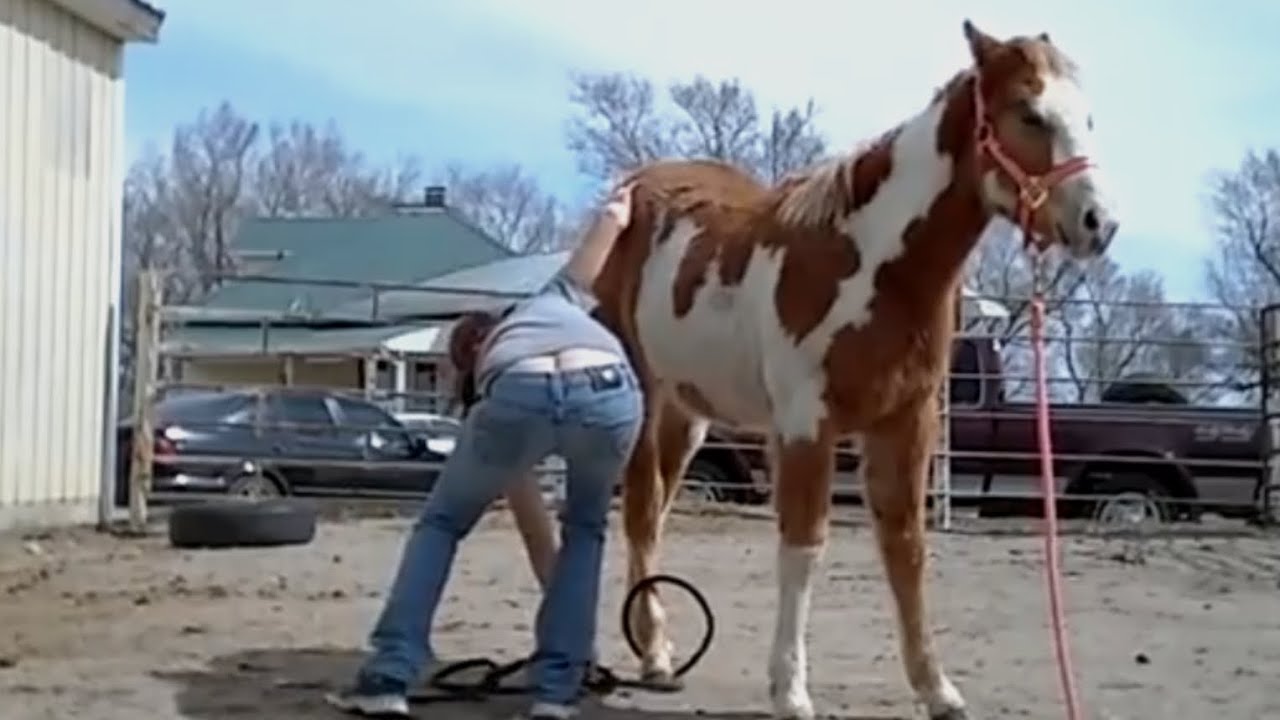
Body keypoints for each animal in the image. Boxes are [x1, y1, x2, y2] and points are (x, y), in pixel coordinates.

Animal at [589, 19, 1118, 720]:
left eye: (1087, 116)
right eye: (1029, 113)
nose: (1100, 224)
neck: (873, 264)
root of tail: (634, 187)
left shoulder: (906, 422)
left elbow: (907, 547)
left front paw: (937, 689)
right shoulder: (807, 425)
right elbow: (804, 546)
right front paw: (790, 690)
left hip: (687, 409)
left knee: (654, 512)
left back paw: (656, 653)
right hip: (643, 394)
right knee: (641, 508)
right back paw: (652, 652)